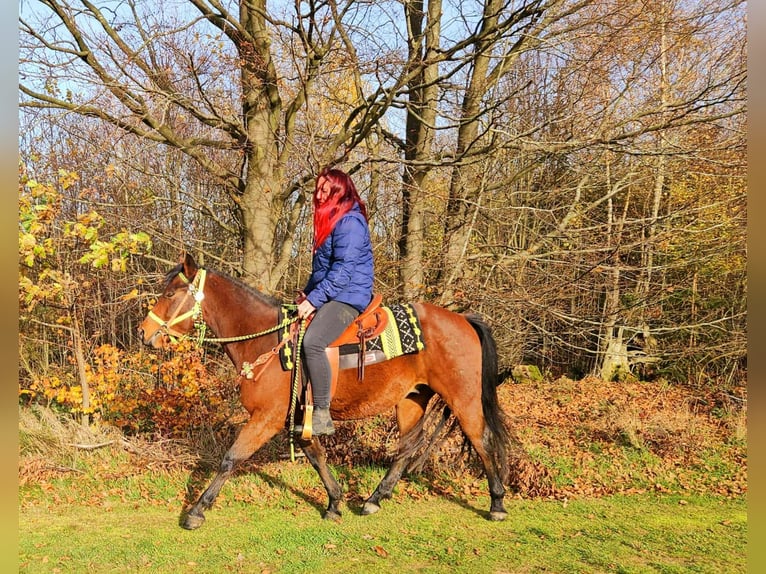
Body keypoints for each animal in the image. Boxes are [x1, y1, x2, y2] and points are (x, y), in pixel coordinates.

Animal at [139, 253, 513, 529]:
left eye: (170, 294)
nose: (144, 333)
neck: (267, 340)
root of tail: (464, 320)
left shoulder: (267, 418)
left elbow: (231, 458)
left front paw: (196, 510)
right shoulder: (298, 416)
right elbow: (315, 455)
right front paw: (335, 501)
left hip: (463, 399)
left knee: (481, 440)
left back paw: (496, 502)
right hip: (411, 400)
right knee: (406, 450)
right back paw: (374, 500)